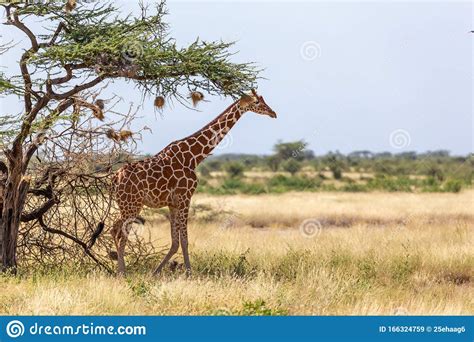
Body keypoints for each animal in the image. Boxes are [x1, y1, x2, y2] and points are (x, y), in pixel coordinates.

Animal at [109, 89, 276, 276]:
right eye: (257, 102)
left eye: (263, 100)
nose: (273, 113)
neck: (193, 157)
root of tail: (114, 178)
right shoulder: (185, 197)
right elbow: (184, 240)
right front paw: (189, 273)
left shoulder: (173, 203)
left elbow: (175, 242)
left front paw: (156, 272)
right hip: (132, 205)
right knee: (121, 233)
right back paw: (122, 273)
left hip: (126, 205)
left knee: (114, 230)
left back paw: (119, 268)